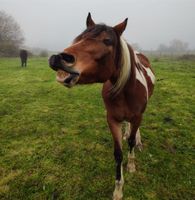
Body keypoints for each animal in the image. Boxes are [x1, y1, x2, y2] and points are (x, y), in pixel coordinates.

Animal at [49, 12, 155, 200]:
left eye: (107, 41)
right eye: (80, 37)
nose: (59, 58)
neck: (124, 91)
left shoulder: (137, 116)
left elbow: (131, 142)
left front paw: (131, 165)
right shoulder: (112, 119)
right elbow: (118, 153)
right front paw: (118, 189)